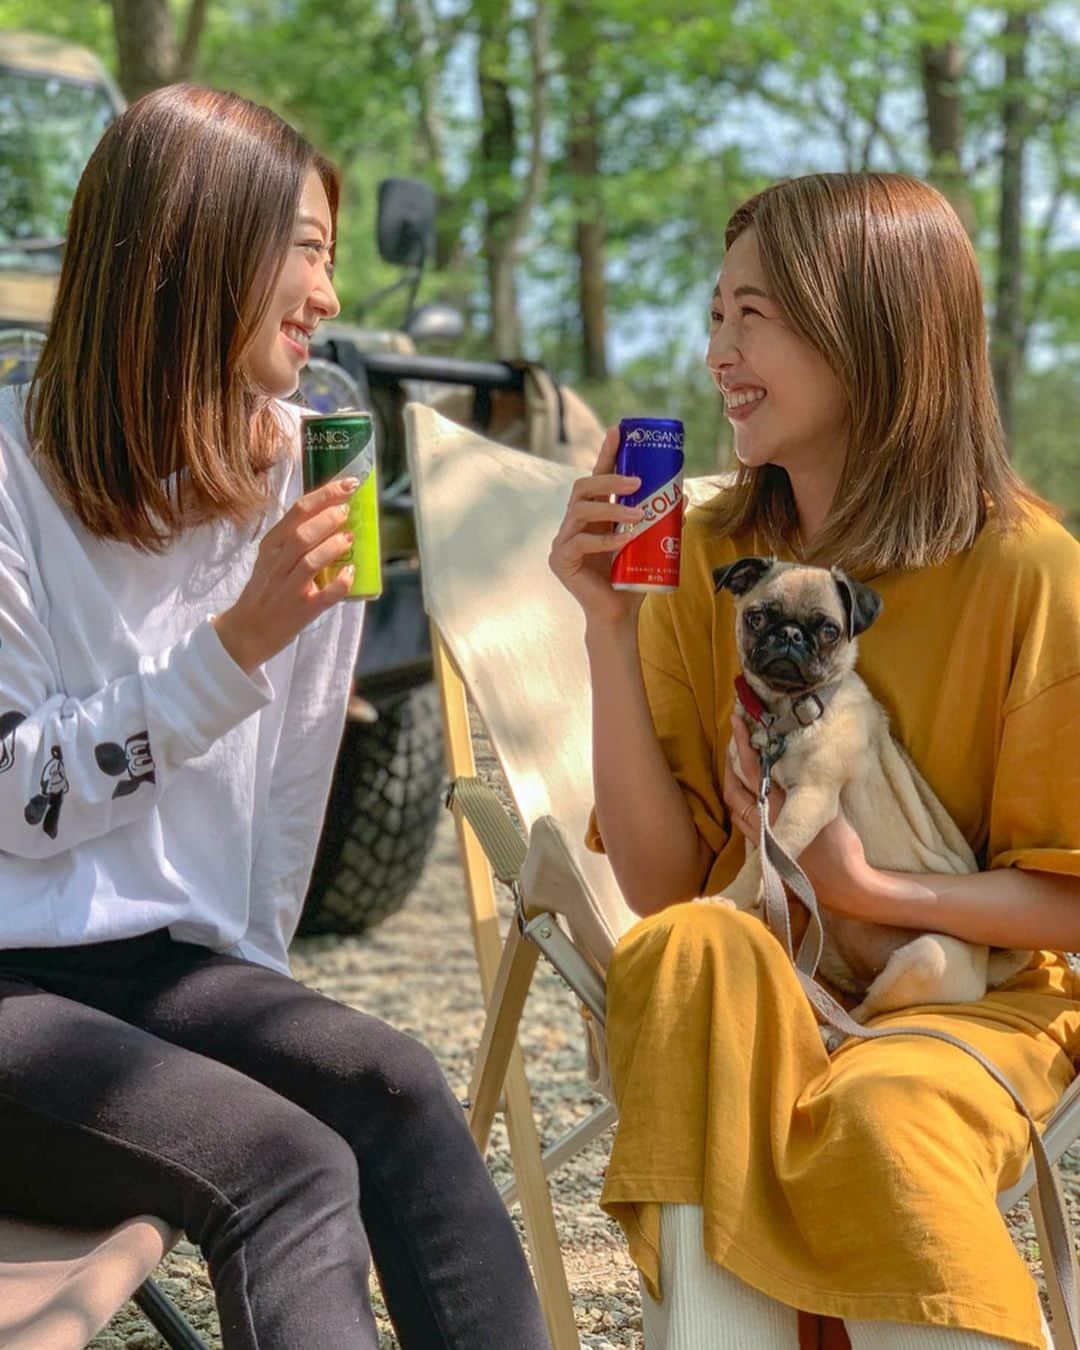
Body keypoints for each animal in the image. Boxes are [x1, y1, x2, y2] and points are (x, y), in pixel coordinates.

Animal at [707, 556, 1031, 1020]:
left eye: (828, 630)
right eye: (757, 617)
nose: (790, 634)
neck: (783, 713)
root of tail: (986, 969)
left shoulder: (809, 800)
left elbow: (761, 862)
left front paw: (728, 899)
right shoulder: (758, 808)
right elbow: (760, 862)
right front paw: (753, 907)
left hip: (923, 957)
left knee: (864, 1014)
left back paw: (833, 1026)